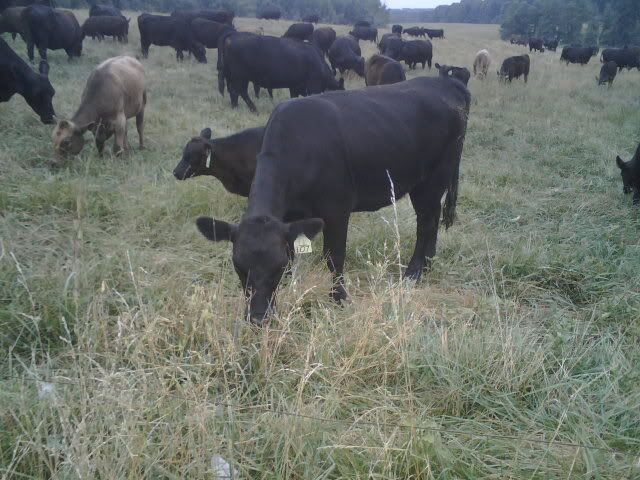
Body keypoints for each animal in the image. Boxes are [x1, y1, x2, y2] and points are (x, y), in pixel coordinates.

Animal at [195, 76, 470, 324]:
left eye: (277, 267)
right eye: (238, 266)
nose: (258, 318)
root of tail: (446, 82)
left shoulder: (336, 209)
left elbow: (334, 256)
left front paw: (338, 298)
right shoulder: (289, 218)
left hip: (434, 177)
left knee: (426, 223)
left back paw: (414, 272)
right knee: (432, 221)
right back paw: (428, 264)